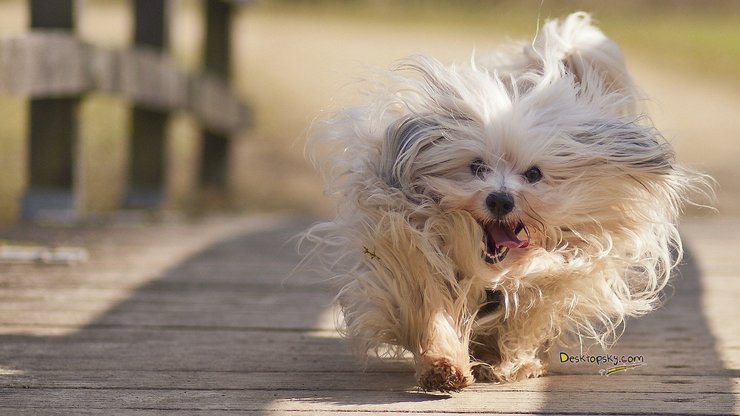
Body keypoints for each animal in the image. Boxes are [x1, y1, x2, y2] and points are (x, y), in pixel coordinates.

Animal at [302, 11, 712, 392]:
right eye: (477, 167)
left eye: (534, 174)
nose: (500, 200)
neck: (491, 269)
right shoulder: (414, 253)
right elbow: (433, 310)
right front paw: (443, 365)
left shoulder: (558, 276)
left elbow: (527, 318)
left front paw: (514, 364)